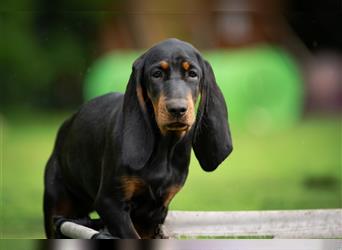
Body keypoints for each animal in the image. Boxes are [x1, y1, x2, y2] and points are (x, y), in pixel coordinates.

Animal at [43, 38, 232, 238]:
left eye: (193, 74)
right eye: (156, 74)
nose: (177, 110)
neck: (165, 146)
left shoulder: (153, 213)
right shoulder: (111, 203)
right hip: (57, 207)